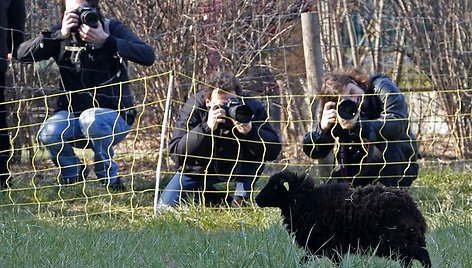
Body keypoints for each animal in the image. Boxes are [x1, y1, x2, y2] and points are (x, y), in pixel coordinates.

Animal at [254, 171, 432, 266]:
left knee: (423, 255)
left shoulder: (322, 245)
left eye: (275, 186)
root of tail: (413, 207)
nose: (256, 199)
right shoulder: (327, 248)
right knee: (408, 260)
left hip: (398, 240)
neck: (306, 200)